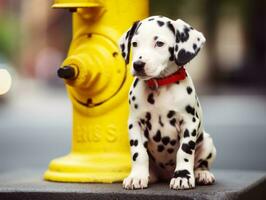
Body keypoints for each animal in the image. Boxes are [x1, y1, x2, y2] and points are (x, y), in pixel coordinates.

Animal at [118, 16, 216, 191]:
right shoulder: (135, 123)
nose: (138, 65)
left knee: (201, 163)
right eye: (135, 43)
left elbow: (185, 151)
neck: (159, 86)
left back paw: (202, 173)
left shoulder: (189, 122)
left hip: (208, 142)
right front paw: (137, 176)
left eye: (159, 43)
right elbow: (138, 152)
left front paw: (182, 177)